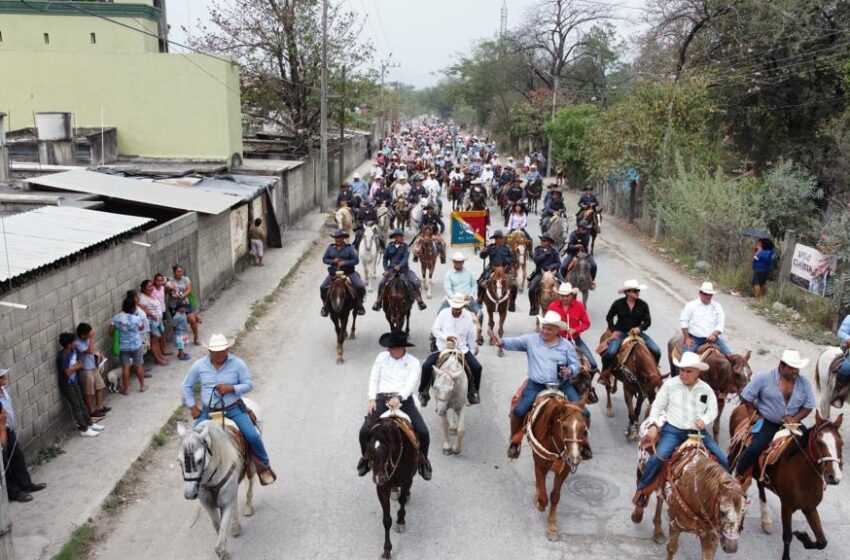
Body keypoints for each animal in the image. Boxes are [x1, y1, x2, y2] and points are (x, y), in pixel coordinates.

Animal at [176, 400, 262, 556]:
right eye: (179, 461)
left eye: (199, 460)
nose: (189, 494)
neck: (211, 479)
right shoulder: (208, 503)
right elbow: (217, 525)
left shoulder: (226, 501)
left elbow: (223, 527)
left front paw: (223, 552)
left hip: (251, 465)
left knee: (250, 484)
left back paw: (247, 508)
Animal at [364, 404, 418, 556]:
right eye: (368, 449)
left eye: (387, 449)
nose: (379, 478)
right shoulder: (382, 488)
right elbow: (386, 520)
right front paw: (387, 550)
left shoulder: (407, 481)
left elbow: (402, 501)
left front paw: (400, 521)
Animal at [724, 404, 840, 560]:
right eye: (819, 442)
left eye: (841, 443)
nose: (834, 476)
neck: (804, 477)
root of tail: (741, 406)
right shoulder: (787, 506)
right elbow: (787, 537)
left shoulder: (810, 508)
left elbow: (822, 542)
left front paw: (804, 537)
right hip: (734, 457)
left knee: (760, 487)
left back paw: (765, 521)